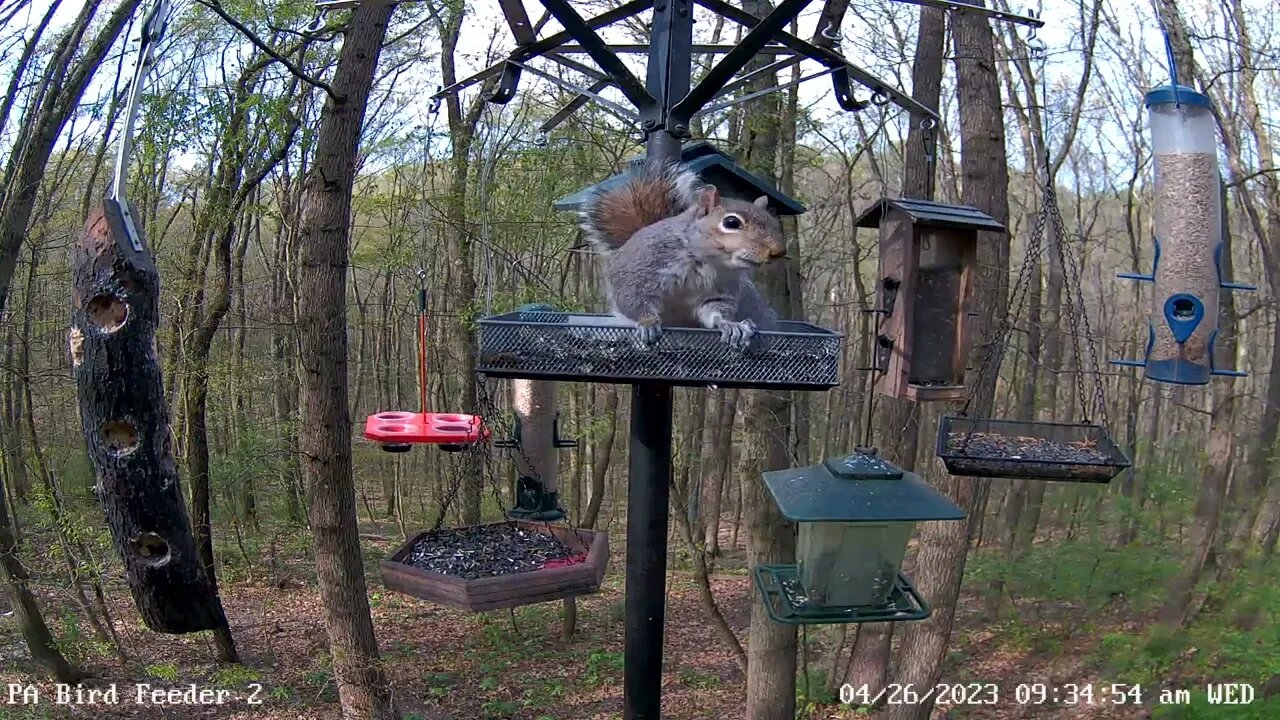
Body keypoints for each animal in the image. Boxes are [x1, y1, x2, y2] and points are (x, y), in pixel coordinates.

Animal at [578, 158, 783, 348]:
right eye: (731, 222)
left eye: (773, 221)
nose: (778, 252)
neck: (705, 262)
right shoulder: (638, 273)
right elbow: (633, 300)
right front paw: (648, 323)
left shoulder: (720, 289)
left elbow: (715, 311)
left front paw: (730, 324)